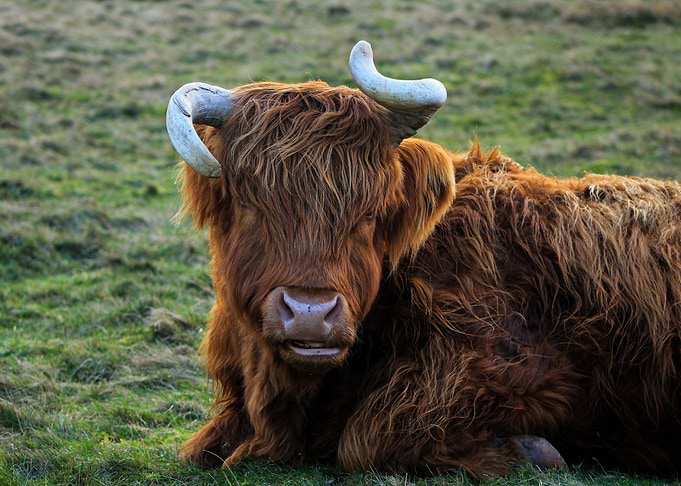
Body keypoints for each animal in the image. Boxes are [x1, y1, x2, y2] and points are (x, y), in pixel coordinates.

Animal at [165, 41, 681, 478]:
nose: (310, 312)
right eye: (248, 206)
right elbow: (200, 449)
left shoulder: (517, 370)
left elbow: (365, 439)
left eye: (370, 215)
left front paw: (529, 449)